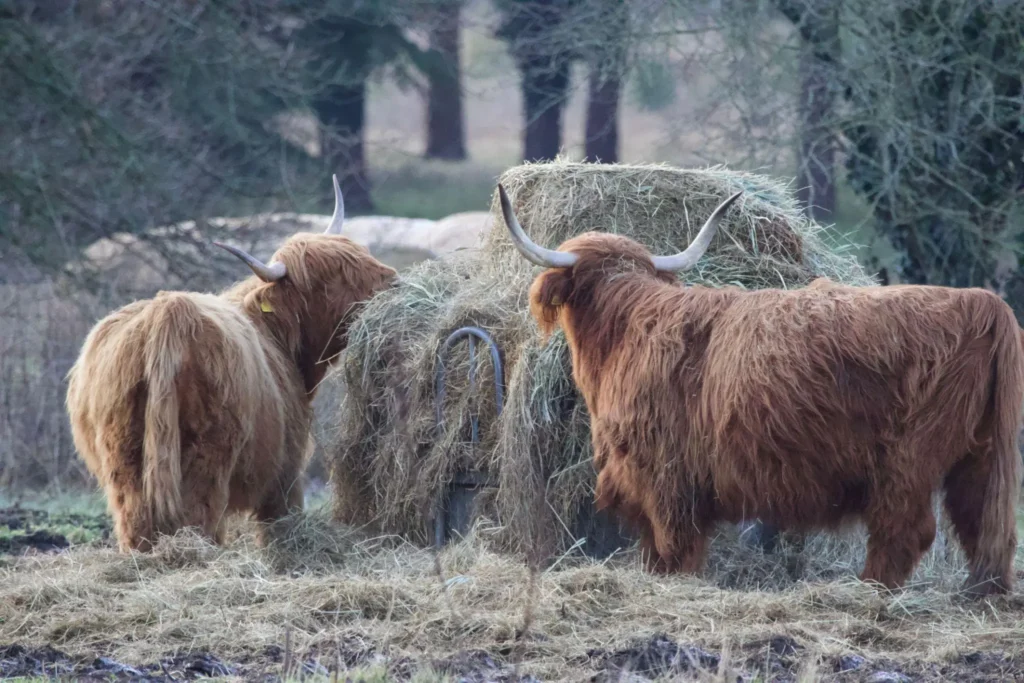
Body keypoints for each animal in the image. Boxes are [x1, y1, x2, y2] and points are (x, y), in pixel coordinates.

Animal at [66, 176, 397, 552]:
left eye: (360, 254)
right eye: (330, 277)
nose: (393, 282)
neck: (276, 334)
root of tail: (170, 312)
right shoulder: (285, 470)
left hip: (124, 464)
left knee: (134, 522)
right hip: (207, 460)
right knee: (200, 517)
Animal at [495, 183, 1024, 596]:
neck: (627, 330)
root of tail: (981, 301)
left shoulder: (666, 480)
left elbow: (675, 552)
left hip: (908, 460)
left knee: (904, 530)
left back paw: (869, 591)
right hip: (980, 456)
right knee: (984, 528)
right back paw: (978, 595)